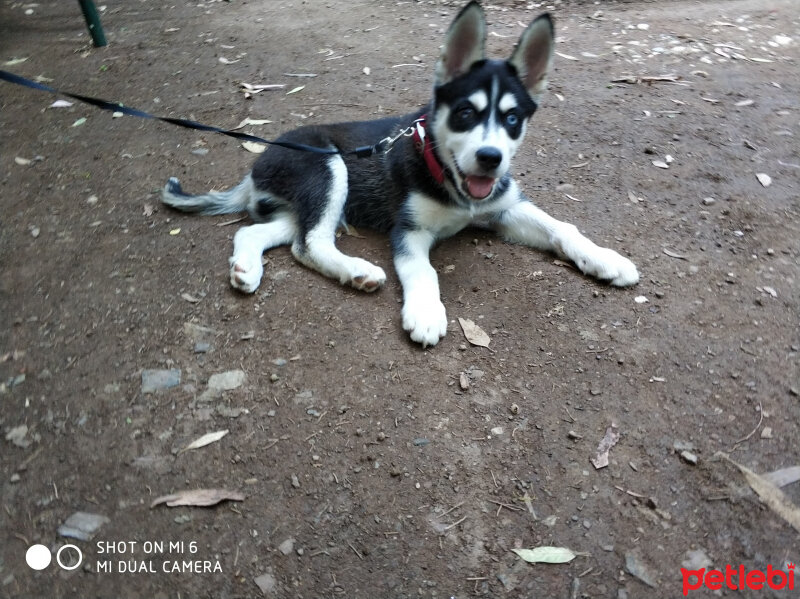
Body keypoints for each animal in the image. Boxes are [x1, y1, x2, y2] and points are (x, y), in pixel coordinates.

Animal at [161, 1, 636, 346]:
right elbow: (423, 271)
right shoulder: (409, 230)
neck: (448, 176)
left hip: (299, 204)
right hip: (328, 166)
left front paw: (606, 259)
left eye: (512, 119)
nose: (490, 157)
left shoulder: (505, 207)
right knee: (309, 244)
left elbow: (563, 228)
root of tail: (261, 158)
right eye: (466, 113)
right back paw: (357, 271)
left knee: (260, 232)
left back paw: (246, 269)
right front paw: (425, 313)